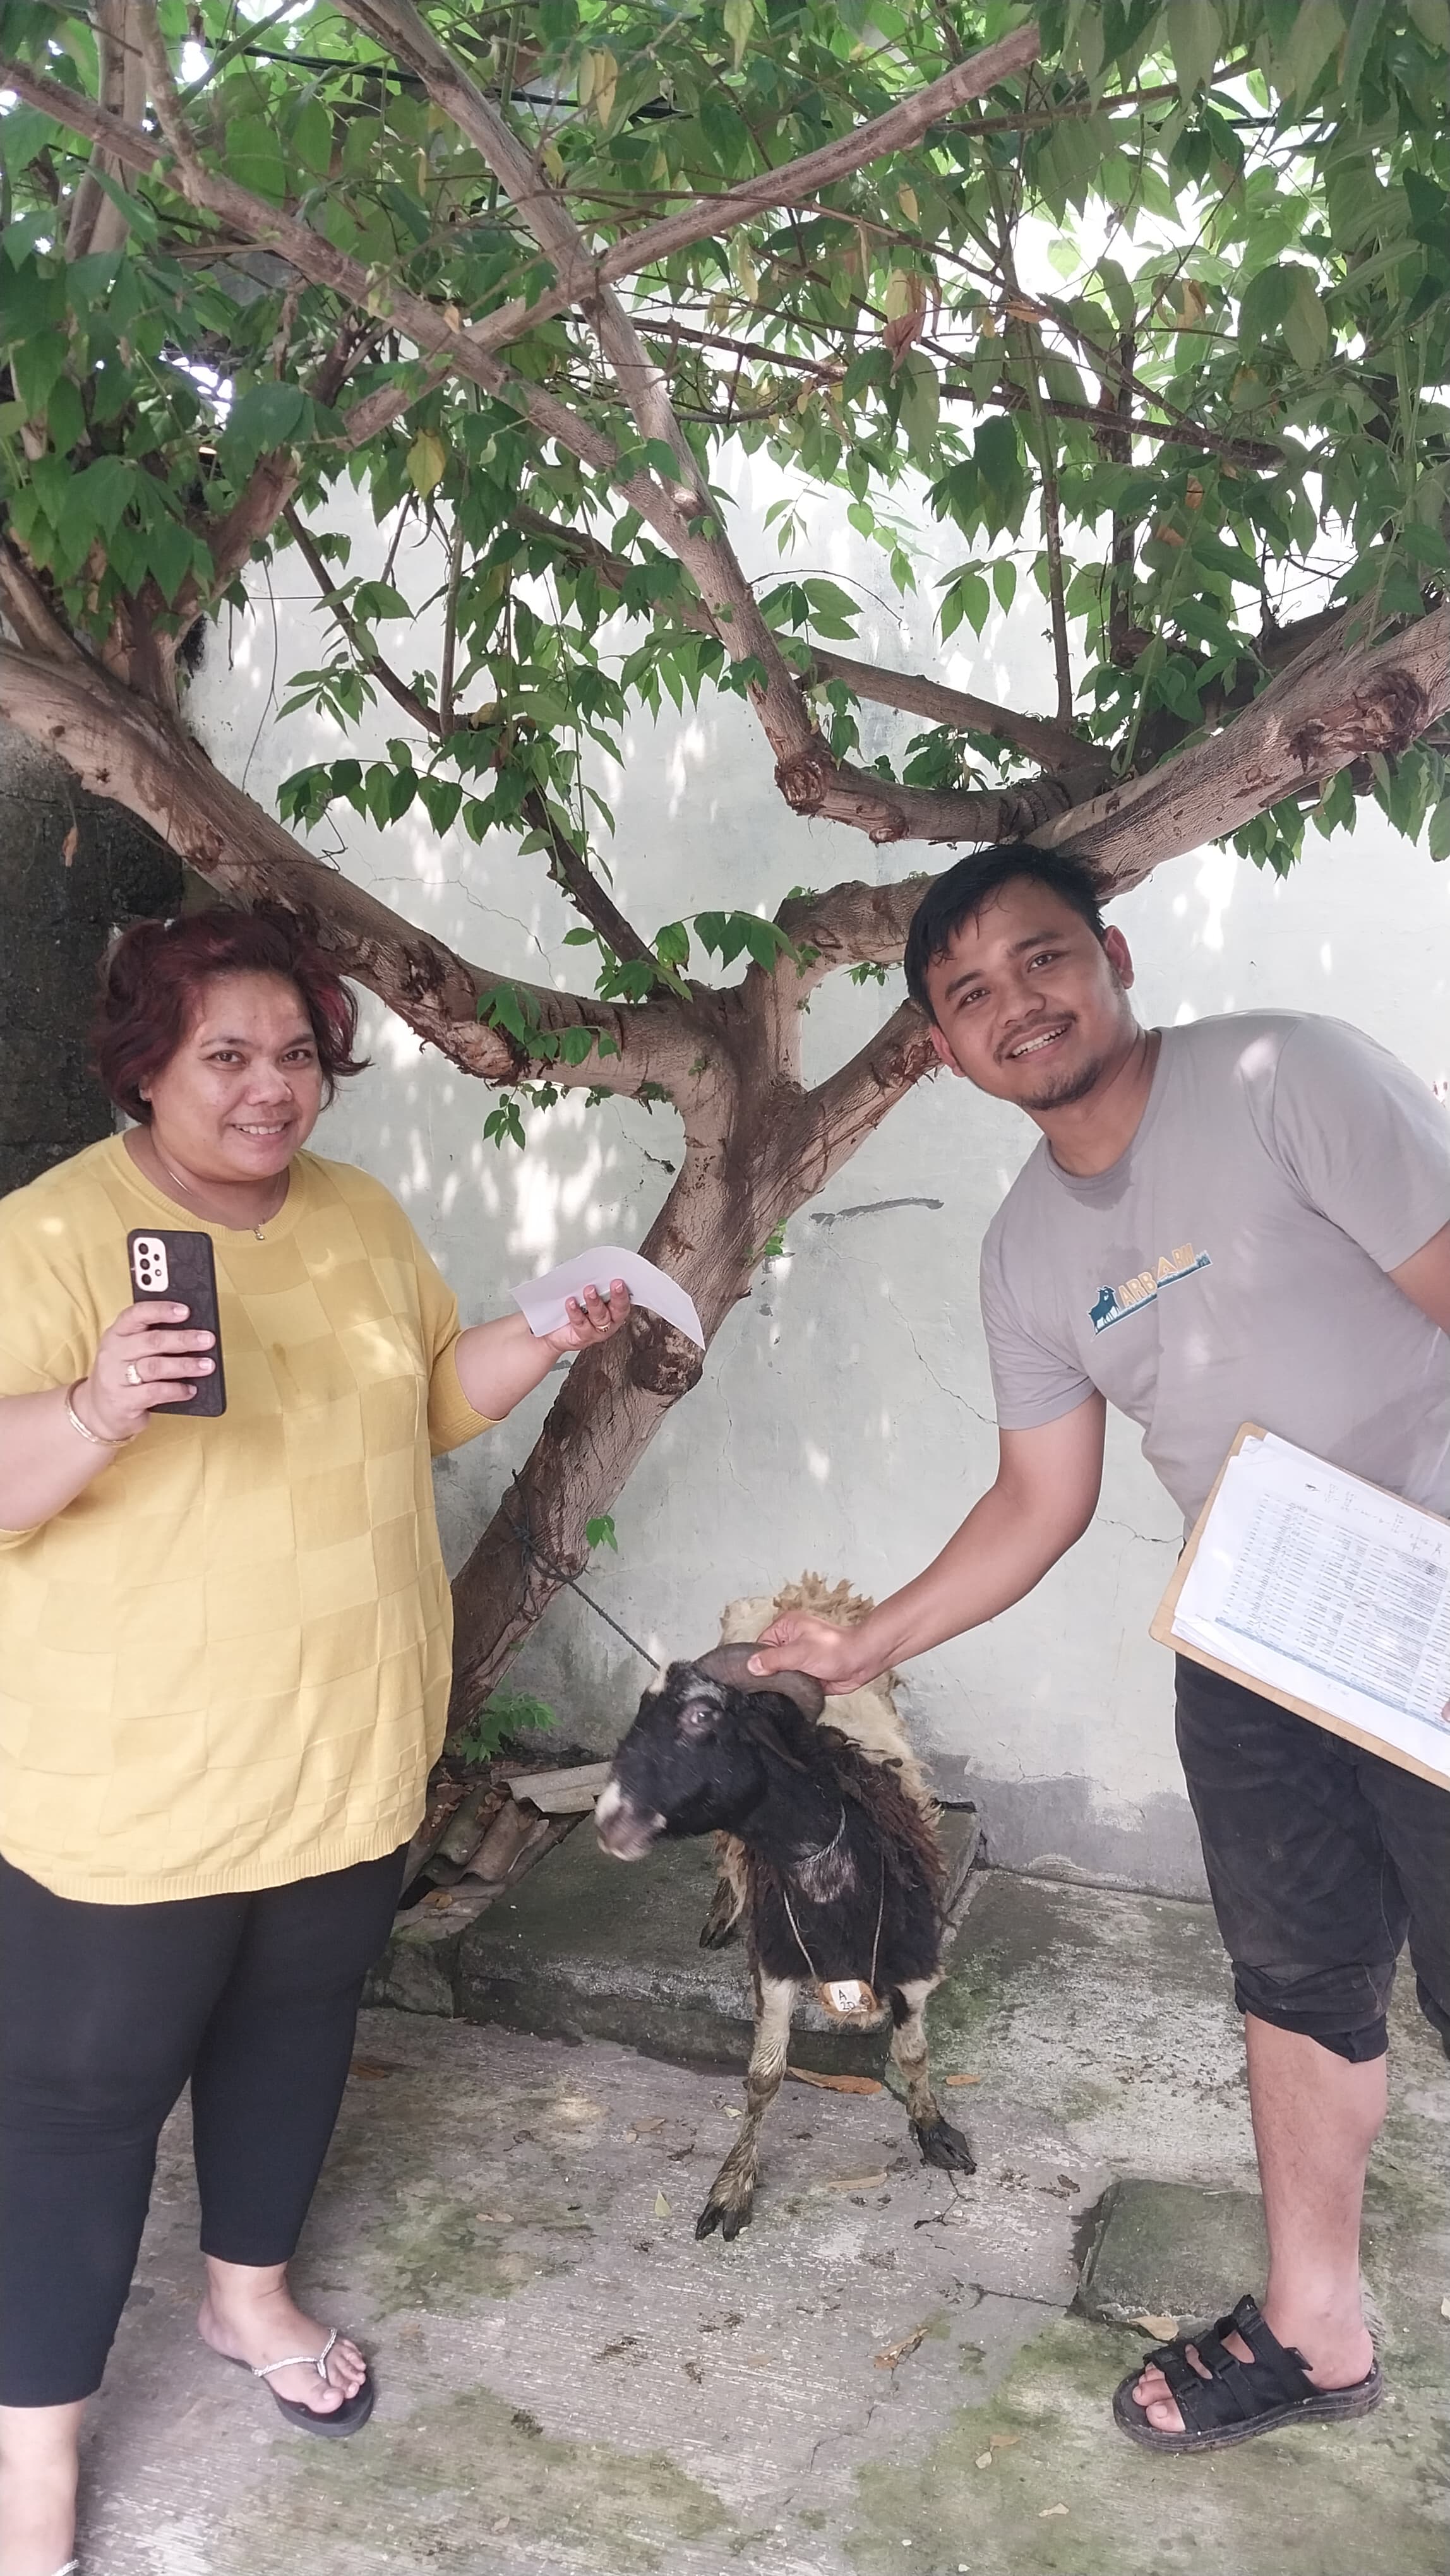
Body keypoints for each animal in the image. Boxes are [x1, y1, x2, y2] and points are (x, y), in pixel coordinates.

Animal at [596, 1576, 973, 2241]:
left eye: (701, 1716)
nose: (609, 1821)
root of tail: (807, 1589)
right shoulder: (775, 1964)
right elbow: (764, 2076)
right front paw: (732, 2187)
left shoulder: (914, 1964)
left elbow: (912, 2053)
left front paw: (934, 2131)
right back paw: (723, 1911)